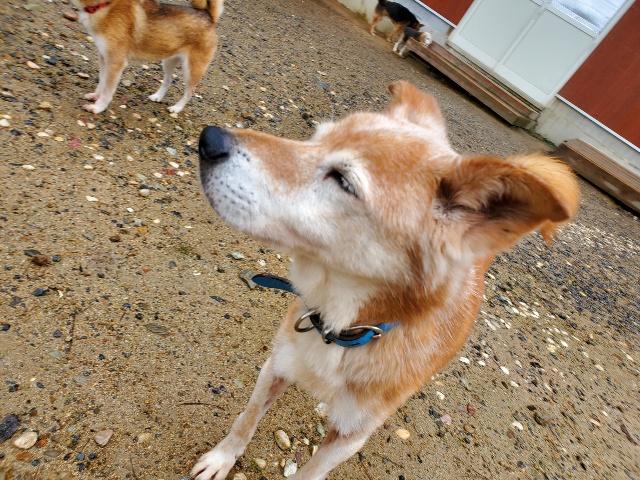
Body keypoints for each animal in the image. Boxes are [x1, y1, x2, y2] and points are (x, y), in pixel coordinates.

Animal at [72, 0, 223, 114]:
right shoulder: (104, 57)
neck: (106, 6)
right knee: (168, 80)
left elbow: (107, 90)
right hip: (168, 61)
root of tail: (209, 17)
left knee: (190, 92)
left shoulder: (115, 62)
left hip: (191, 69)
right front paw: (95, 96)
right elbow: (102, 83)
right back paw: (158, 96)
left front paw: (98, 107)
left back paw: (177, 108)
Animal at [193, 81, 580, 480]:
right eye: (313, 139)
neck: (343, 329)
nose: (209, 139)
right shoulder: (276, 366)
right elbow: (246, 419)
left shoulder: (351, 434)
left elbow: (311, 472)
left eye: (343, 179)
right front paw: (221, 459)